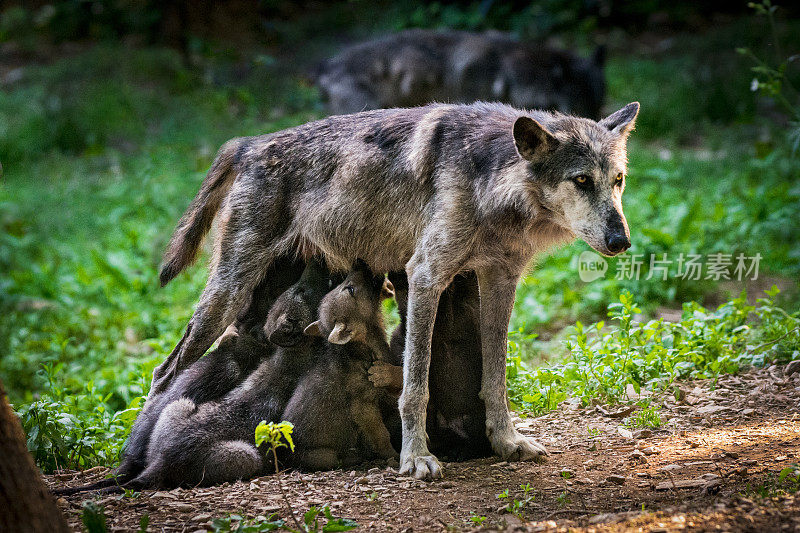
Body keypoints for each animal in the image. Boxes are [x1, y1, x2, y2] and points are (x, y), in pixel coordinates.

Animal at [153, 98, 640, 478]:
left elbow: (495, 377)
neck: (490, 179)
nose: (622, 241)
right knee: (164, 372)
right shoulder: (425, 276)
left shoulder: (500, 281)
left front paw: (506, 441)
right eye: (581, 180)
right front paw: (416, 458)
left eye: (617, 180)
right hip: (225, 294)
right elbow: (416, 384)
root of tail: (247, 143)